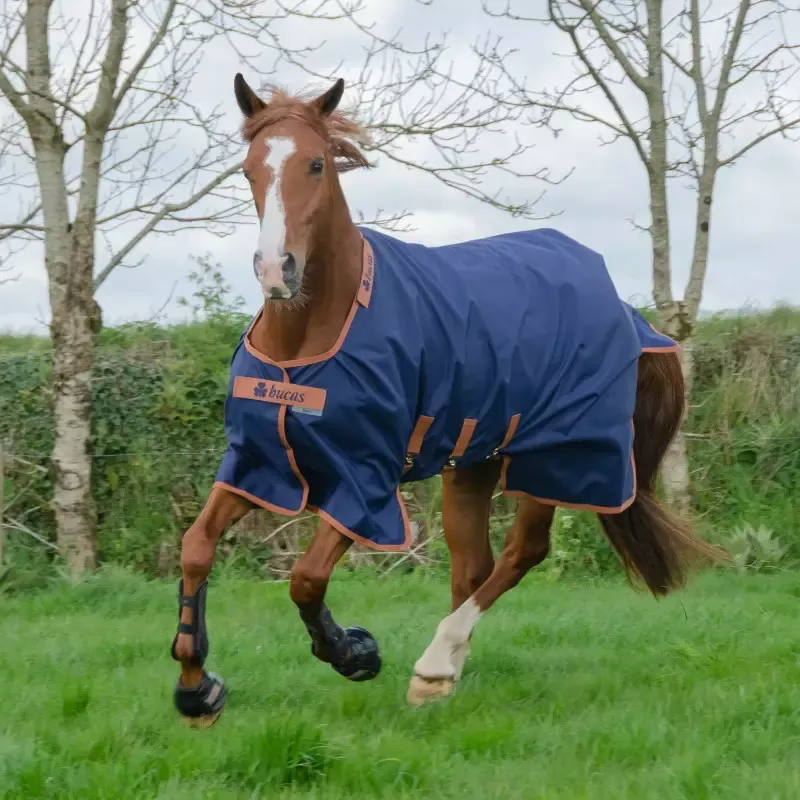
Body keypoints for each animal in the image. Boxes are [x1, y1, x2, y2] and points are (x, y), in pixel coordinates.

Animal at [169, 74, 726, 727]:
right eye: (249, 168)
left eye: (316, 163)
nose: (275, 269)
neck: (310, 335)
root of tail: (628, 315)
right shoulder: (259, 463)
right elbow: (196, 548)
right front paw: (197, 688)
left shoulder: (365, 479)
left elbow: (305, 578)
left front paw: (354, 652)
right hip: (473, 462)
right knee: (473, 566)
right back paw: (442, 675)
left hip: (555, 457)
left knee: (522, 553)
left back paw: (434, 663)